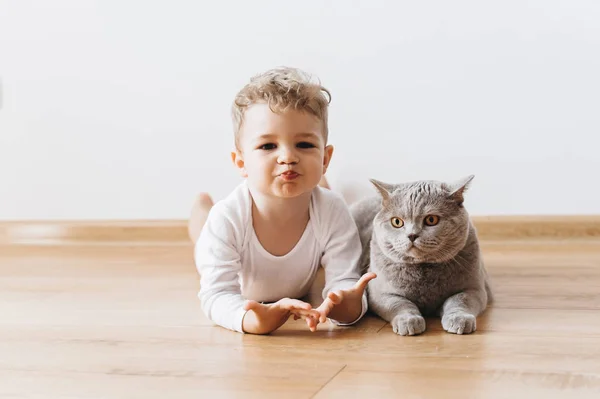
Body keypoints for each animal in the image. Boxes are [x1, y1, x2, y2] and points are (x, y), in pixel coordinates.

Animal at [352, 177, 492, 336]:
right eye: (396, 222)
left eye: (431, 220)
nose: (412, 235)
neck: (423, 270)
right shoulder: (379, 294)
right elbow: (399, 303)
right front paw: (409, 320)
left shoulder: (475, 289)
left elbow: (460, 300)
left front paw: (459, 319)